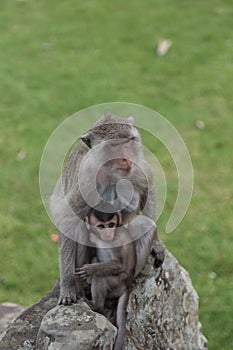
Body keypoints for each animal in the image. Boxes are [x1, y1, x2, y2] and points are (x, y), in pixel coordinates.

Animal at [50, 113, 165, 304]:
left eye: (129, 140)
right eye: (113, 146)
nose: (126, 158)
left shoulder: (138, 168)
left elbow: (149, 189)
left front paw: (156, 243)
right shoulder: (86, 183)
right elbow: (68, 220)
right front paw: (68, 287)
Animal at [75, 206, 136, 348]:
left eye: (111, 225)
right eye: (101, 226)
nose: (108, 233)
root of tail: (128, 285)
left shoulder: (116, 241)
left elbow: (119, 265)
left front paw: (91, 269)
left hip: (118, 283)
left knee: (100, 278)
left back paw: (95, 306)